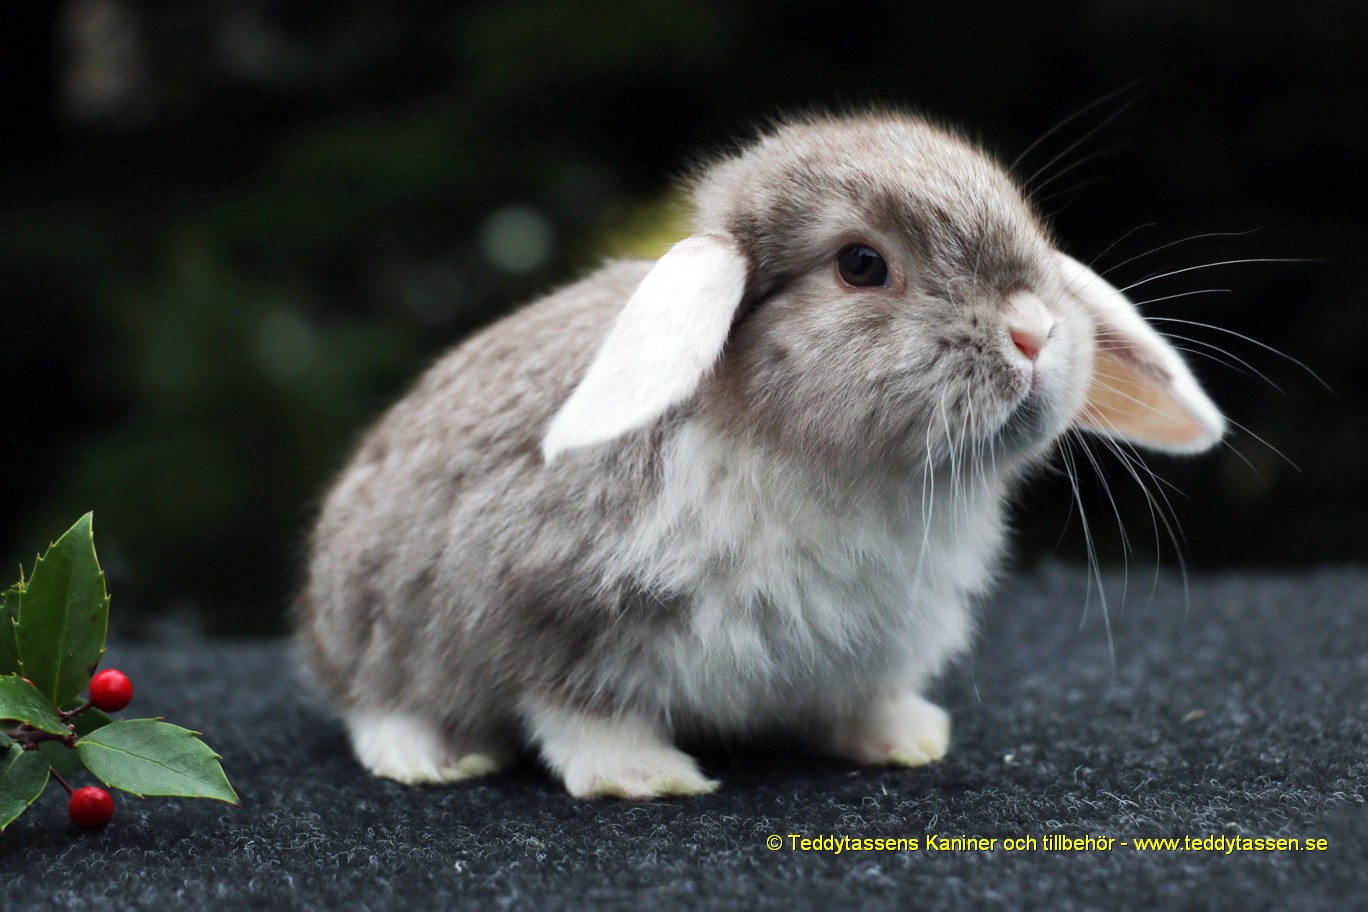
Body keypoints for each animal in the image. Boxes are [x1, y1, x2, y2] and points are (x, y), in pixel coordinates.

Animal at [296, 112, 1231, 798]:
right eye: (862, 264)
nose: (1034, 333)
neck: (826, 461)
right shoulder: (549, 616)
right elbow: (574, 712)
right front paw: (647, 779)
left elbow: (862, 706)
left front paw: (908, 739)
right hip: (375, 628)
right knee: (380, 705)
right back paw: (431, 760)